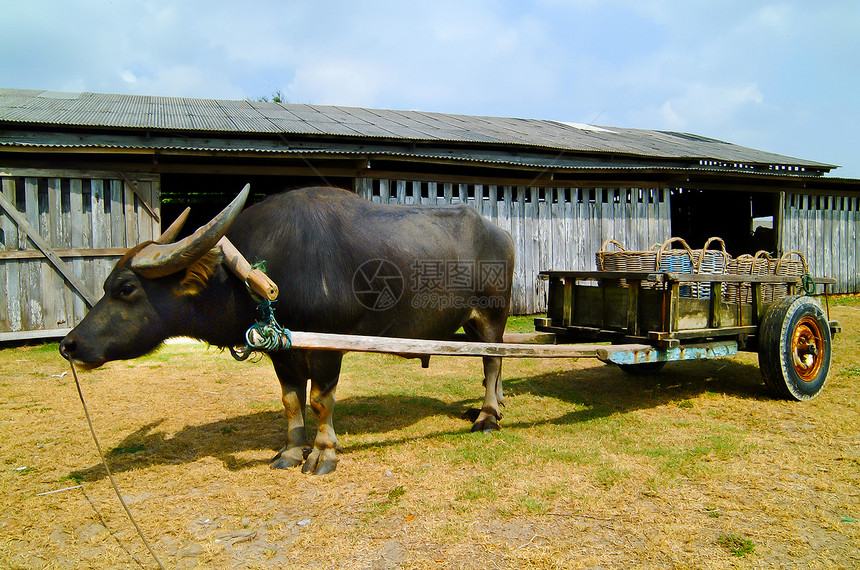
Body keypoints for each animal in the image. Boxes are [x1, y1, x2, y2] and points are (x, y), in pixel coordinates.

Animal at [63, 184, 516, 472]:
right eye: (106, 284)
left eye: (125, 288)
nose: (70, 345)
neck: (256, 274)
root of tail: (501, 235)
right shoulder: (283, 349)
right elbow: (291, 400)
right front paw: (291, 450)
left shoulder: (329, 346)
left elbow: (320, 401)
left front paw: (323, 453)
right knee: (488, 366)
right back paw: (491, 405)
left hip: (492, 315)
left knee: (494, 363)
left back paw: (488, 416)